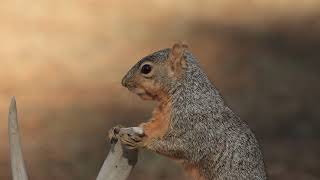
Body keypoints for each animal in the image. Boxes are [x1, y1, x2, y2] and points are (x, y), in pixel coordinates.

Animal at [110, 42, 268, 180]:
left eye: (146, 68)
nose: (123, 82)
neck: (183, 91)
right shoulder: (161, 119)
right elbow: (148, 127)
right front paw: (116, 129)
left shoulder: (193, 121)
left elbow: (185, 146)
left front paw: (144, 141)